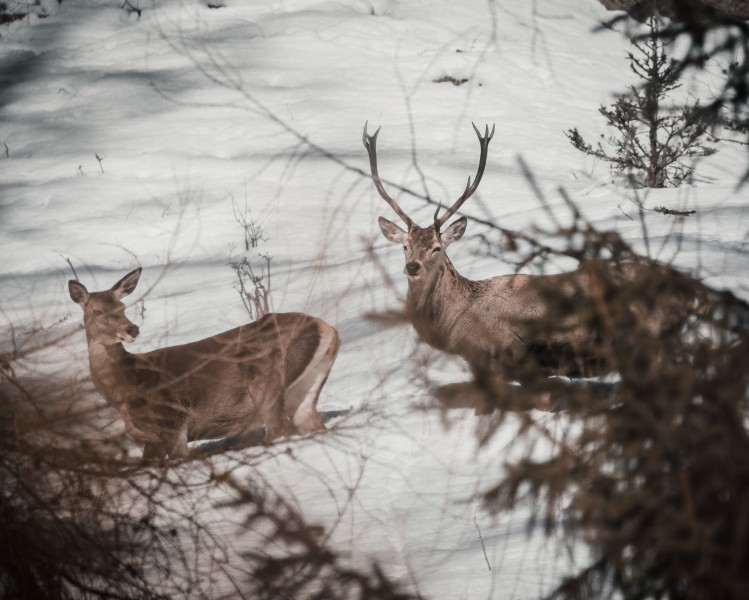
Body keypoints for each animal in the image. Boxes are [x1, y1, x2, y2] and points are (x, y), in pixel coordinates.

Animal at [70, 270, 338, 462]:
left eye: (122, 307)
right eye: (97, 311)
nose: (132, 329)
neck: (125, 388)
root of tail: (329, 330)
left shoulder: (173, 420)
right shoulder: (150, 440)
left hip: (265, 381)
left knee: (280, 430)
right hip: (305, 387)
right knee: (311, 423)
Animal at [362, 124, 696, 410]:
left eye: (437, 248)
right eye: (404, 246)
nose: (412, 267)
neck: (456, 324)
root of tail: (689, 295)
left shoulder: (495, 358)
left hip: (652, 343)